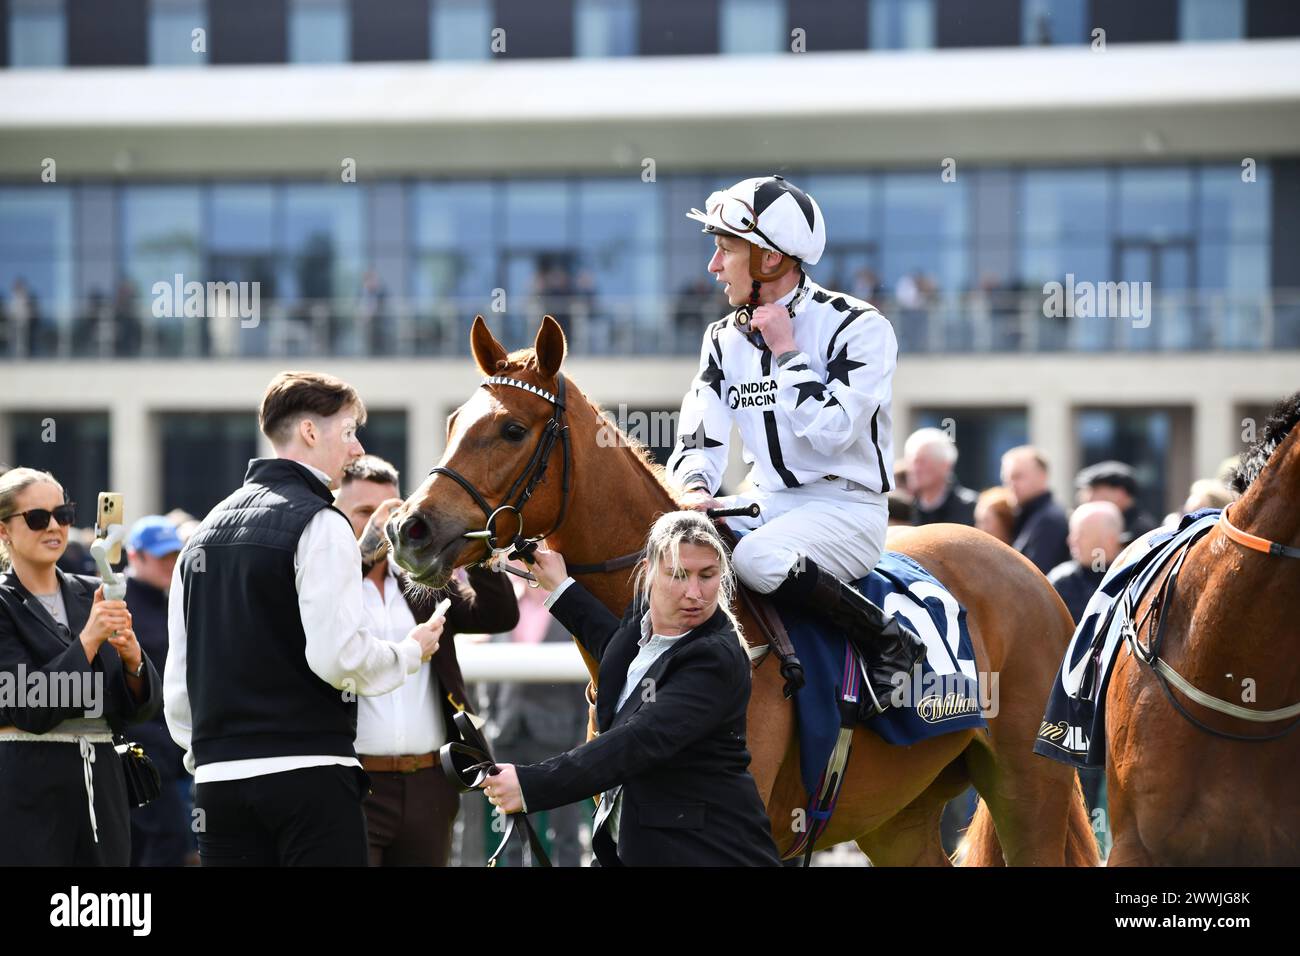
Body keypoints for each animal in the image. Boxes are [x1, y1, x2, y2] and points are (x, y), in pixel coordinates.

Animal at [387, 316, 1097, 868]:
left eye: (511, 430)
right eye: (453, 422)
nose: (408, 529)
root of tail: (1027, 570)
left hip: (1028, 787)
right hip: (897, 814)